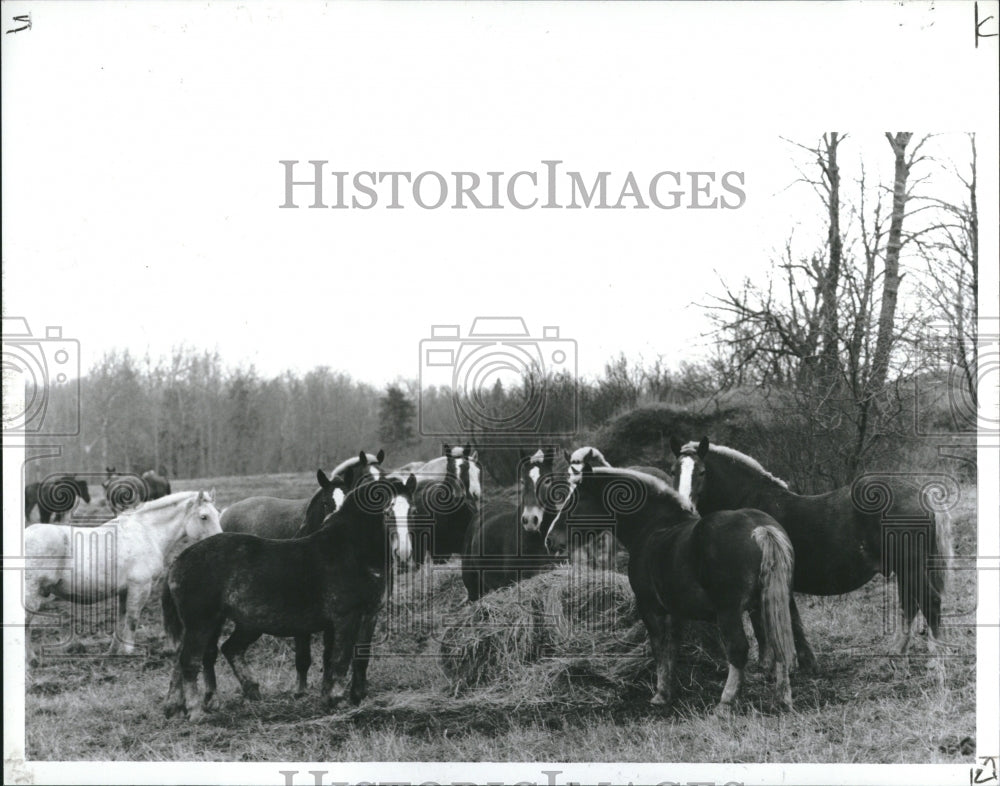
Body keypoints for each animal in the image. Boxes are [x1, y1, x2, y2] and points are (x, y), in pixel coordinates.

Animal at [23, 486, 221, 660]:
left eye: (218, 515)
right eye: (204, 517)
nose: (218, 543)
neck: (147, 532)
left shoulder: (125, 590)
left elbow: (121, 619)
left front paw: (114, 651)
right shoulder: (140, 586)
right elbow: (133, 618)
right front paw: (128, 651)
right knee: (25, 622)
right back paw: (31, 659)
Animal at [162, 468, 416, 720]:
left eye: (412, 510)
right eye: (387, 510)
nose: (403, 553)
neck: (352, 551)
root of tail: (180, 559)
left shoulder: (370, 614)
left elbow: (360, 657)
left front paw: (356, 697)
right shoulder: (345, 618)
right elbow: (340, 658)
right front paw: (337, 700)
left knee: (197, 656)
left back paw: (180, 705)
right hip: (202, 622)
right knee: (191, 660)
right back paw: (196, 711)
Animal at [544, 462, 792, 712]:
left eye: (577, 499)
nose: (550, 540)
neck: (654, 525)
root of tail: (760, 529)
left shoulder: (650, 608)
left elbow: (659, 648)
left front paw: (661, 694)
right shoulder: (675, 611)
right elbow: (672, 648)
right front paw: (669, 691)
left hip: (729, 612)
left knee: (738, 650)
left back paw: (726, 701)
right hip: (769, 605)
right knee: (780, 643)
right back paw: (783, 698)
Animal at [664, 434, 952, 660]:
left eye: (702, 472)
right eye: (673, 472)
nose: (685, 507)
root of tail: (920, 493)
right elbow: (790, 622)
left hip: (911, 567)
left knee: (930, 602)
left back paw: (937, 655)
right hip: (904, 569)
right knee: (911, 604)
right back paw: (897, 650)